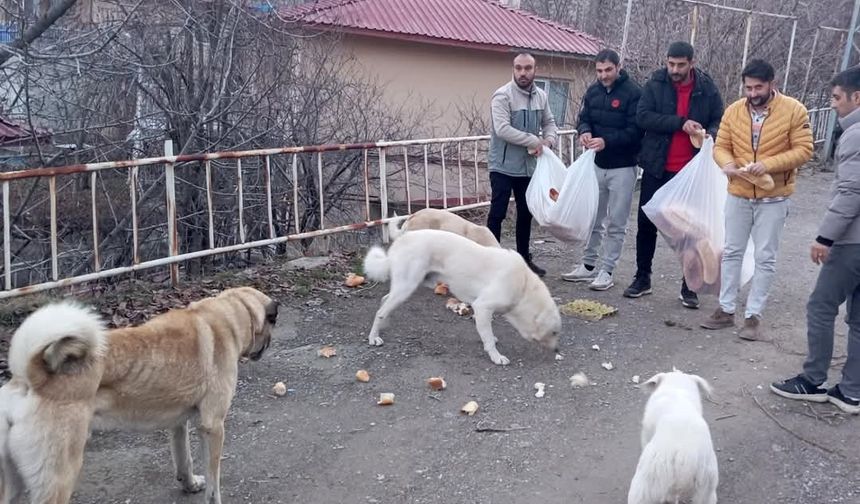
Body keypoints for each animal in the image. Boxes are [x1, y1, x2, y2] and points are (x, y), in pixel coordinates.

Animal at [0, 286, 276, 502]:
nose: (267, 346)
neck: (229, 313)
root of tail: (32, 376)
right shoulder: (213, 427)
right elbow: (213, 483)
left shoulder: (179, 424)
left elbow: (184, 460)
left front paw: (189, 485)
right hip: (60, 476)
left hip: (14, 484)